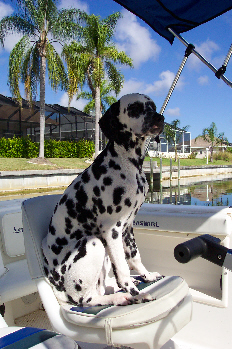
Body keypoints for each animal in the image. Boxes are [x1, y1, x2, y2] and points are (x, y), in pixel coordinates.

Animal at [41, 93, 164, 308]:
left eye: (153, 107)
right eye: (134, 108)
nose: (160, 118)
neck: (128, 164)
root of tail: (58, 287)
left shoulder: (127, 229)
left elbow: (135, 257)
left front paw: (146, 276)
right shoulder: (112, 230)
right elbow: (123, 269)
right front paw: (135, 293)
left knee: (100, 289)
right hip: (94, 244)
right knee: (87, 299)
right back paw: (123, 296)